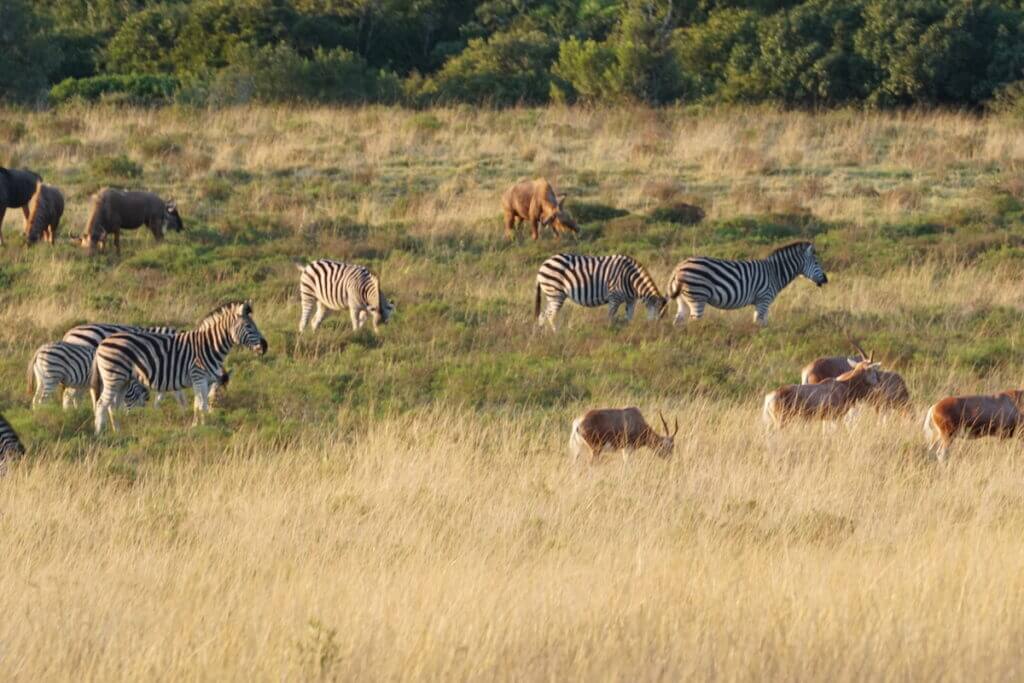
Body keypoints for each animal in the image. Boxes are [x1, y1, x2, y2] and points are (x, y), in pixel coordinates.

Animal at [91, 301, 267, 434]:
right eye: (249, 326)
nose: (265, 347)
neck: (209, 346)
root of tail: (102, 344)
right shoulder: (198, 376)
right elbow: (201, 405)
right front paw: (204, 428)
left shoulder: (202, 380)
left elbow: (197, 404)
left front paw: (197, 425)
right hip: (113, 377)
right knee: (101, 404)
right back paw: (100, 433)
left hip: (123, 380)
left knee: (113, 405)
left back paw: (118, 431)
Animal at [534, 253, 667, 331]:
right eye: (659, 315)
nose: (657, 331)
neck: (631, 280)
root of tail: (543, 264)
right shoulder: (614, 297)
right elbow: (611, 316)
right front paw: (610, 331)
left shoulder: (631, 300)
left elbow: (629, 316)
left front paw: (629, 330)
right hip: (556, 293)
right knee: (550, 315)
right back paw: (556, 333)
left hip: (551, 295)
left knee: (543, 314)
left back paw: (542, 334)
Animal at [665, 241, 828, 327]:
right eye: (816, 262)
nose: (826, 280)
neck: (775, 272)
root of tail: (678, 267)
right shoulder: (763, 299)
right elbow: (758, 323)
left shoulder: (764, 302)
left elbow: (764, 323)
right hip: (698, 296)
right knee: (694, 322)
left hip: (683, 299)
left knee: (678, 321)